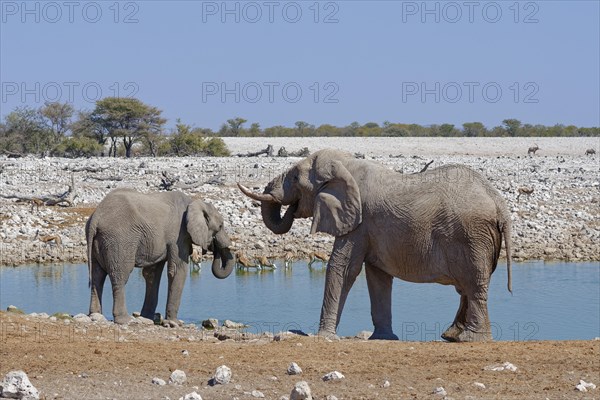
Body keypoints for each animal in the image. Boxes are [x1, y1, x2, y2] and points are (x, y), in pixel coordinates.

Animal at [85, 188, 236, 324]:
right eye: (220, 226)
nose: (214, 248)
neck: (194, 202)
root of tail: (96, 217)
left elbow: (152, 274)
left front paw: (147, 318)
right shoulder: (178, 236)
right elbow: (178, 271)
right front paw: (174, 323)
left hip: (99, 241)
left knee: (97, 276)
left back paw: (95, 315)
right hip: (119, 240)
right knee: (120, 275)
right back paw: (125, 320)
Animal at [239, 148, 510, 342]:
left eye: (295, 177)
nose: (292, 207)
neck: (347, 165)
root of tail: (499, 203)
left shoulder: (359, 222)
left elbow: (344, 269)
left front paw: (324, 337)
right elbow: (377, 277)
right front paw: (383, 338)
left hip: (472, 236)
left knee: (472, 284)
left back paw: (470, 338)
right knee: (467, 287)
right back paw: (452, 336)